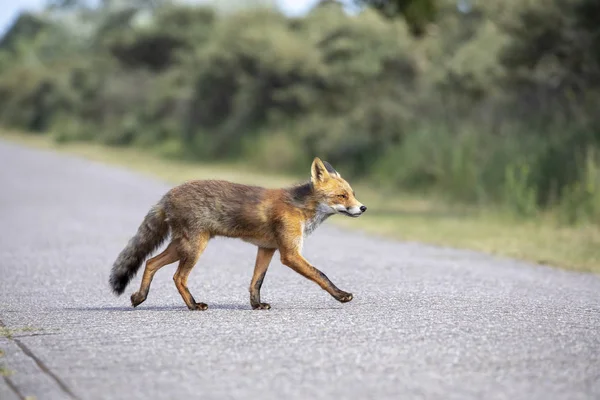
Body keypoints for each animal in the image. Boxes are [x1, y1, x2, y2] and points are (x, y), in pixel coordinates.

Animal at [110, 158, 368, 310]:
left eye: (353, 194)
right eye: (342, 196)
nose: (363, 208)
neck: (299, 207)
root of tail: (168, 194)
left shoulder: (267, 248)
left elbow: (256, 281)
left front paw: (256, 305)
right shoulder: (289, 253)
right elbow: (321, 275)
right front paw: (341, 295)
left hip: (181, 246)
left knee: (151, 262)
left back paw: (139, 297)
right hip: (194, 247)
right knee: (177, 277)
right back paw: (193, 305)